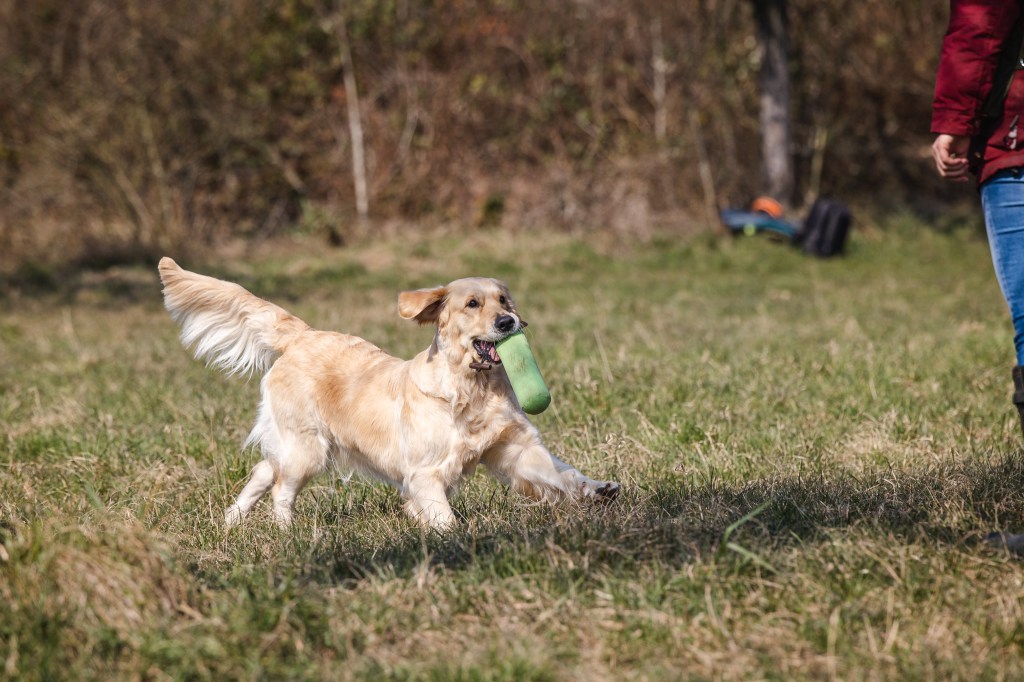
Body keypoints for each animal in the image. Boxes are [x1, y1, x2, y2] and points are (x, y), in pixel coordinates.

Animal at [158, 258, 620, 529]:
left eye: (504, 299)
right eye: (473, 304)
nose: (508, 322)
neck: (471, 388)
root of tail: (303, 335)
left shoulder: (514, 447)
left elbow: (561, 472)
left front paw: (598, 489)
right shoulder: (426, 473)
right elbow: (443, 517)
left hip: (292, 444)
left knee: (261, 471)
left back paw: (232, 520)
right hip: (308, 448)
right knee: (280, 489)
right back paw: (287, 534)